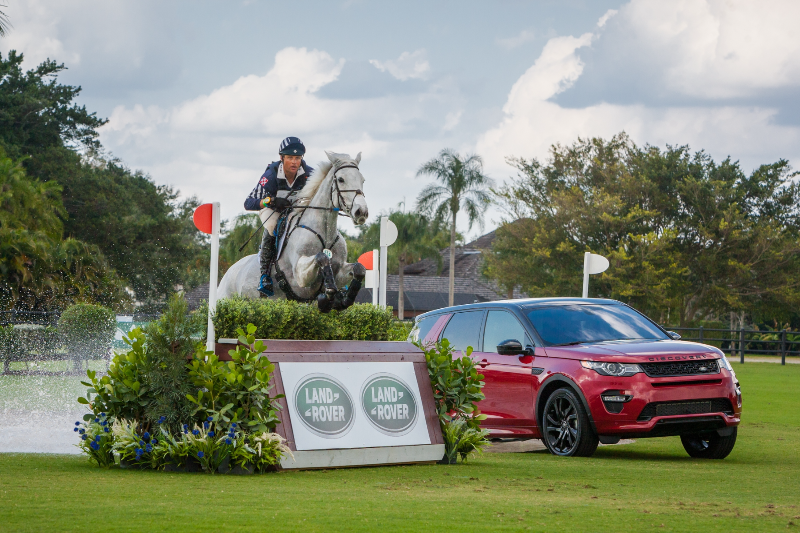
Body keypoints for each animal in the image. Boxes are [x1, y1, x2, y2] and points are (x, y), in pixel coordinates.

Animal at [219, 151, 368, 312]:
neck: (325, 233)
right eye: (341, 179)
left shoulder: (340, 271)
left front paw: (343, 299)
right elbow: (321, 257)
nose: (361, 212)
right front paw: (329, 294)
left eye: (363, 180)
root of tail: (227, 273)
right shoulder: (300, 276)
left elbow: (359, 268)